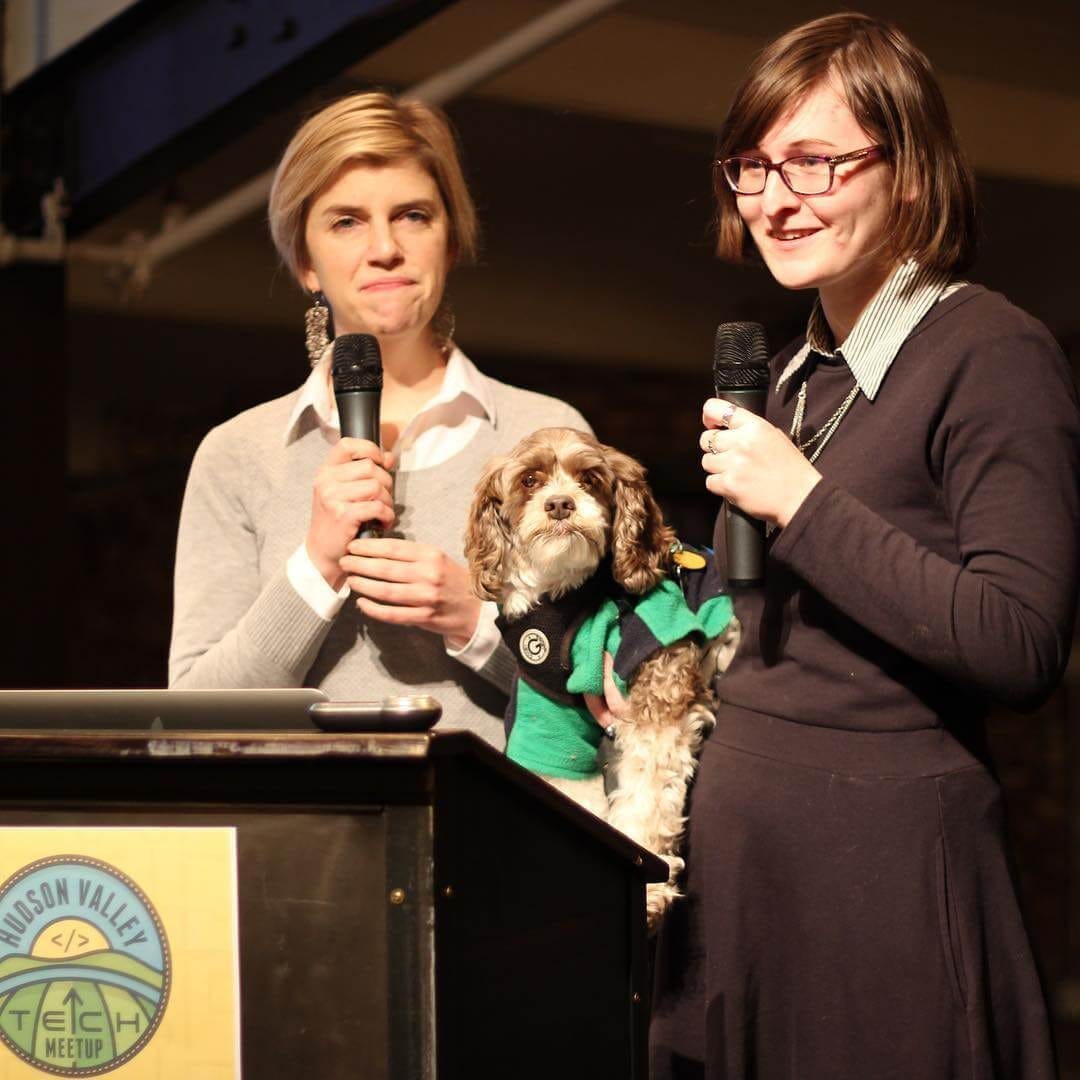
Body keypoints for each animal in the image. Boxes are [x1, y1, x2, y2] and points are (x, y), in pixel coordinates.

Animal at [464, 425, 734, 924]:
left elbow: (647, 798)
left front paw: (650, 891)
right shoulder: (548, 720)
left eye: (589, 479)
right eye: (529, 480)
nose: (559, 503)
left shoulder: (657, 703)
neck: (570, 601)